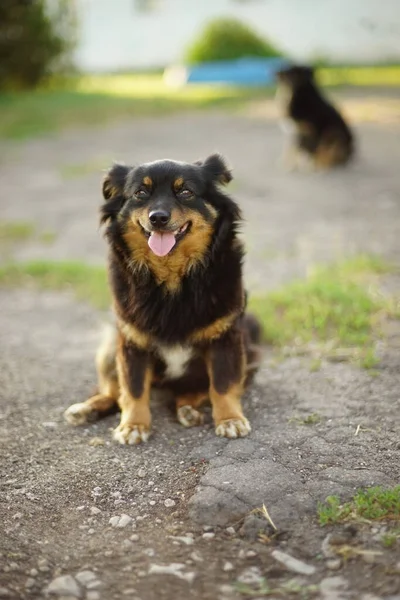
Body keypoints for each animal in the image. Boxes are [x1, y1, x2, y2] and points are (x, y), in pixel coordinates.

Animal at [63, 155, 260, 446]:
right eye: (140, 193)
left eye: (185, 192)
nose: (157, 218)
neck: (172, 278)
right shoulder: (131, 340)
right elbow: (133, 388)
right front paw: (133, 425)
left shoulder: (225, 338)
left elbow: (222, 384)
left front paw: (229, 419)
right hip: (109, 348)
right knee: (112, 393)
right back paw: (86, 408)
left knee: (194, 392)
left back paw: (188, 409)